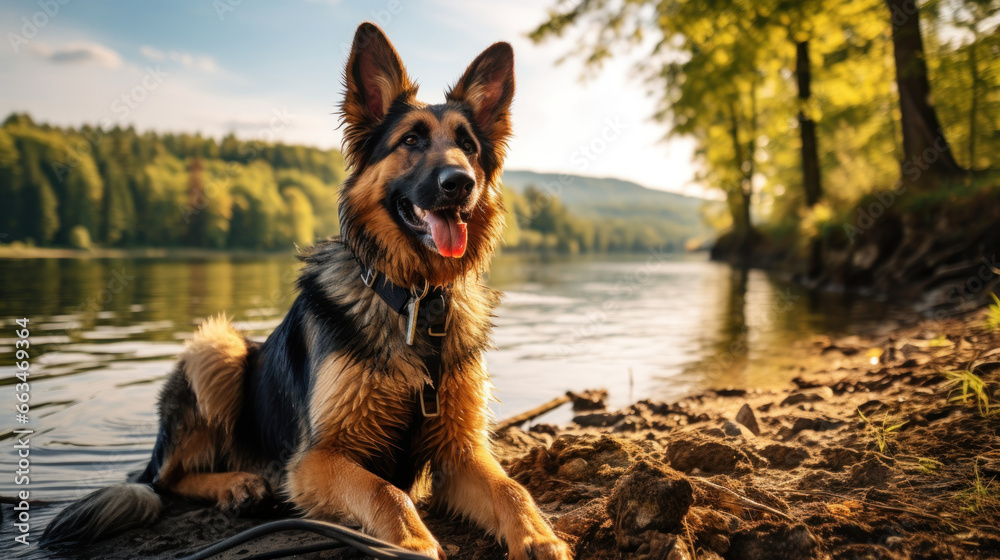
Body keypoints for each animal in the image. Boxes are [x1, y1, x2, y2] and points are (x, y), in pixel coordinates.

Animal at [41, 23, 572, 560]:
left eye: (468, 146)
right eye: (411, 140)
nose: (459, 183)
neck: (413, 302)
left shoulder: (458, 450)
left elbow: (511, 488)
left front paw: (540, 536)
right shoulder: (317, 458)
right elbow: (387, 491)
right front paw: (411, 541)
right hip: (217, 346)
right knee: (169, 479)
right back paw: (236, 484)